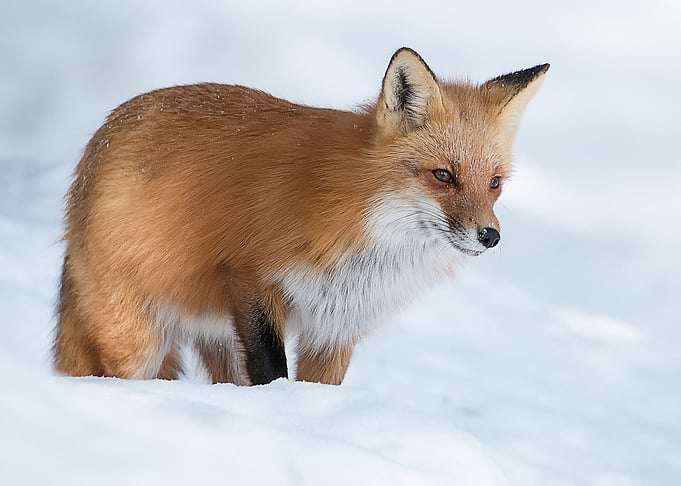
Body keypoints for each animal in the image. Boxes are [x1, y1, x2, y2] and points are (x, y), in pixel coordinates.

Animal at [53, 47, 548, 385]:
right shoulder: (251, 277)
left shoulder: (336, 324)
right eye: (443, 175)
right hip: (138, 341)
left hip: (215, 337)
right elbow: (272, 371)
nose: (490, 235)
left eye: (495, 183)